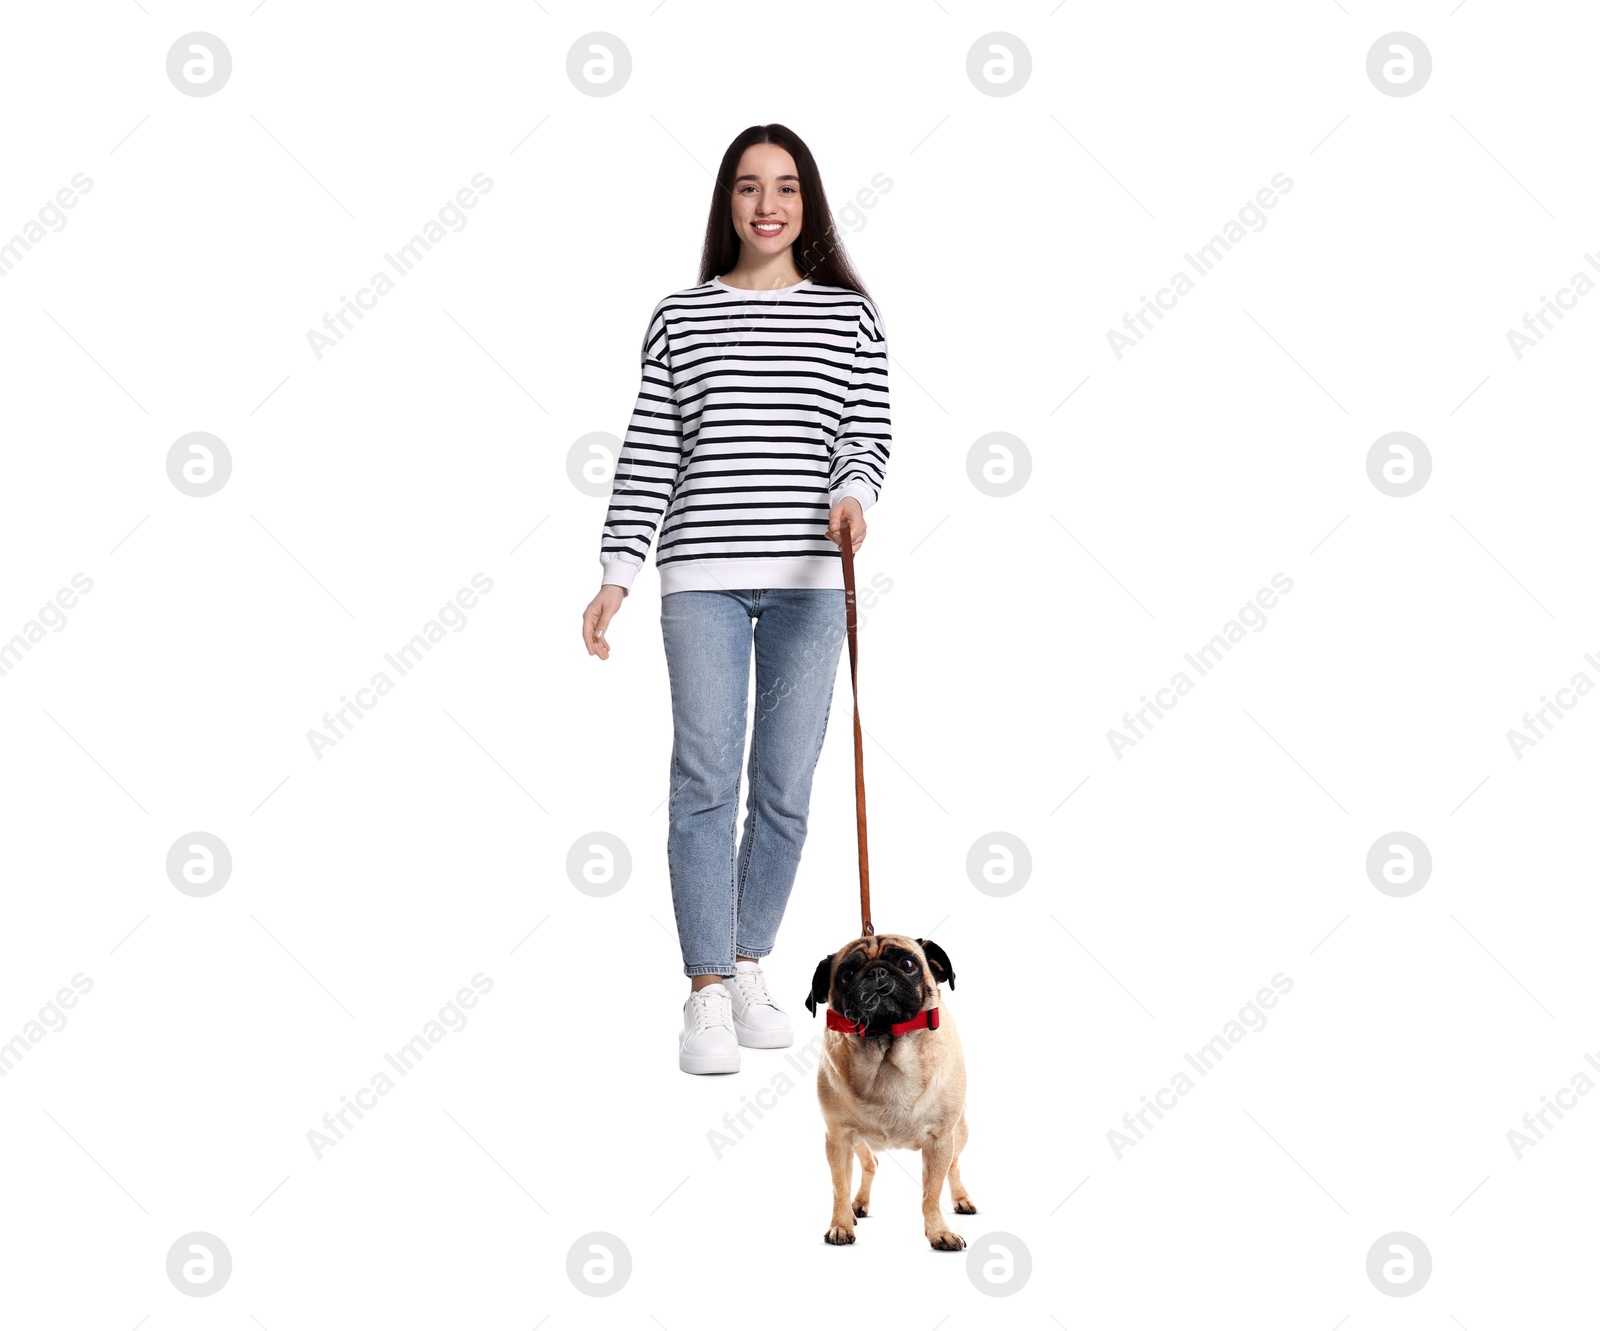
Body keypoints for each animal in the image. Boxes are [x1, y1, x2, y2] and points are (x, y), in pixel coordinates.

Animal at [800, 934, 972, 1247]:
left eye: (908, 964)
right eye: (846, 974)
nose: (877, 972)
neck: (886, 1046)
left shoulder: (940, 1140)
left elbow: (931, 1193)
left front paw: (939, 1231)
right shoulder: (838, 1138)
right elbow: (839, 1187)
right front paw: (841, 1225)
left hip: (960, 1132)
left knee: (953, 1166)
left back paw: (962, 1199)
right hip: (857, 1140)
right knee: (871, 1163)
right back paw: (858, 1205)